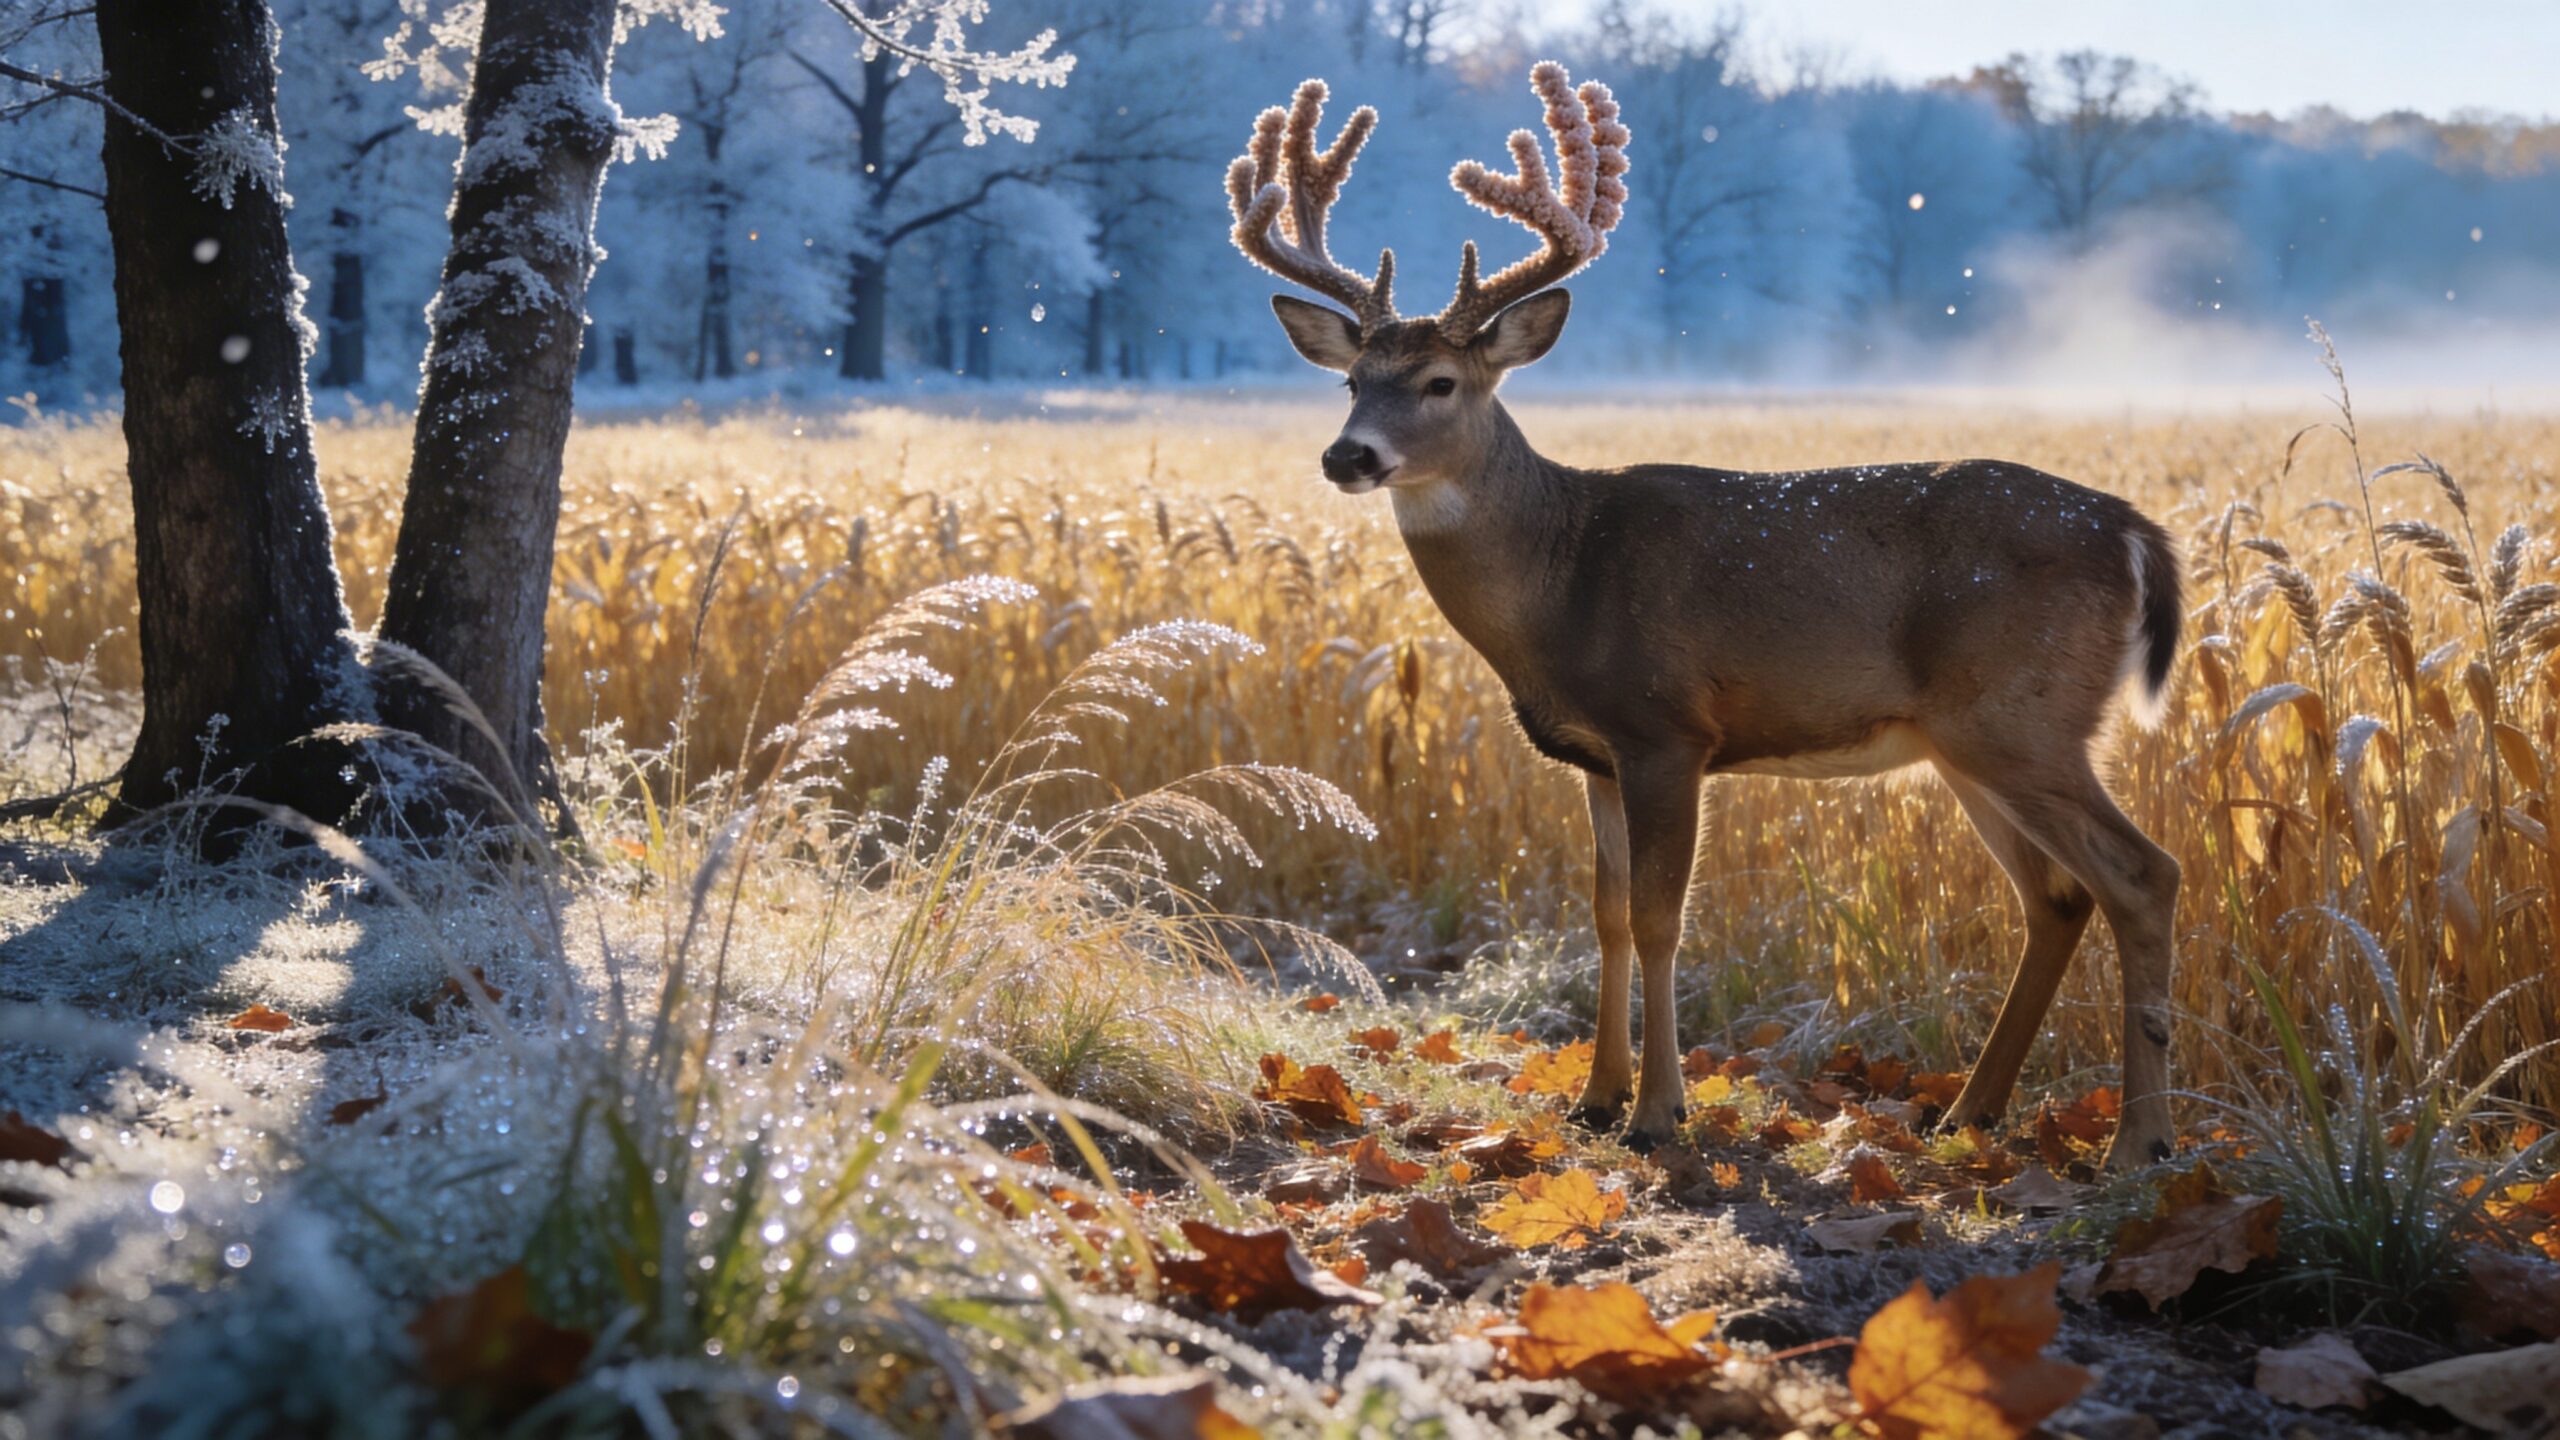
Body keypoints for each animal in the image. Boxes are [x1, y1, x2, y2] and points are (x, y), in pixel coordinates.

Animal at [1229, 63, 2185, 1166]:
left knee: (2142, 875)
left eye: (1440, 381)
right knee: (2057, 897)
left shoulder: (1666, 728)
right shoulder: (1593, 753)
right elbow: (1604, 914)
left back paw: (2138, 1143)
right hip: (1972, 739)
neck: (1563, 574)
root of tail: (2134, 531)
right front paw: (1594, 1100)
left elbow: (1658, 919)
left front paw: (1659, 1113)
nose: (1349, 455)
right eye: (1350, 379)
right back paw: (1969, 1113)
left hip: (2022, 715)